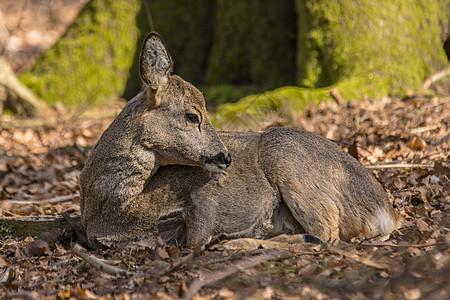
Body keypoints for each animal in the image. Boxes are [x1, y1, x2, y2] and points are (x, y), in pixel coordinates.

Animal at [80, 32, 400, 248]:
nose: (226, 157)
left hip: (288, 159)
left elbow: (195, 237)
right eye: (193, 116)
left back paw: (240, 242)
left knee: (326, 232)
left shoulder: (203, 200)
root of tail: (385, 210)